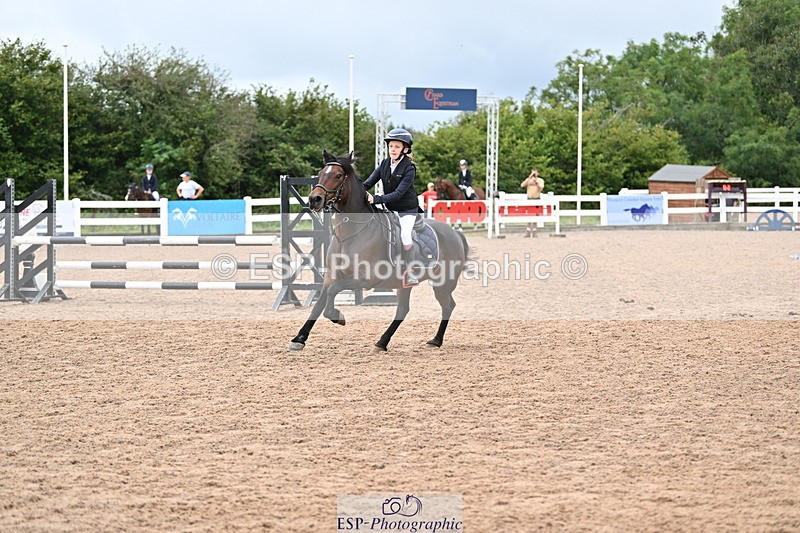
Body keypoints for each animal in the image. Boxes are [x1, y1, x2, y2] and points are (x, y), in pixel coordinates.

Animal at [288, 151, 473, 353]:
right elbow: (319, 304)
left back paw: (436, 340)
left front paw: (337, 316)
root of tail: (454, 233)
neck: (351, 234)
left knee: (448, 305)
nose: (314, 199)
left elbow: (333, 292)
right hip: (405, 285)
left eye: (338, 175)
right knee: (403, 310)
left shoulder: (365, 279)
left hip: (443, 283)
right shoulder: (331, 276)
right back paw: (382, 342)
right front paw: (299, 338)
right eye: (321, 173)